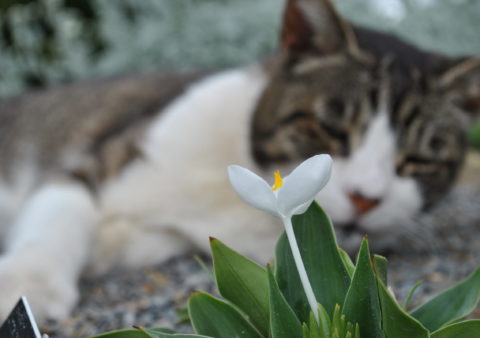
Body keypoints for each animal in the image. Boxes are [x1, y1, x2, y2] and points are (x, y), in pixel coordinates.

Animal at [0, 0, 480, 324]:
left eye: (417, 159)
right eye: (331, 130)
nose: (366, 198)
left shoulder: (156, 236)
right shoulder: (97, 163)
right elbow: (58, 218)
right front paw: (24, 284)